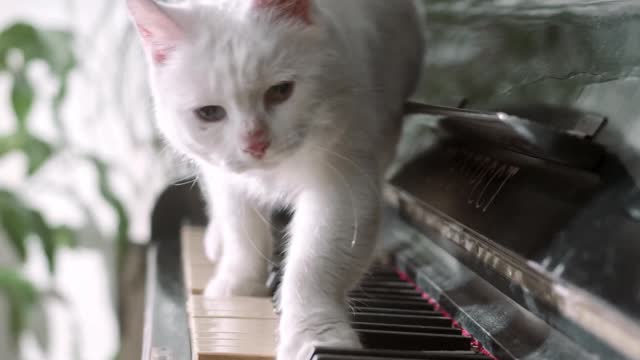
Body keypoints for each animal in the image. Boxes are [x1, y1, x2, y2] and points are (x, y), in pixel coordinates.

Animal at [126, 0, 424, 358]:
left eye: (281, 92)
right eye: (209, 113)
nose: (255, 144)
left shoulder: (342, 186)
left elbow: (314, 265)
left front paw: (315, 338)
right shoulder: (227, 180)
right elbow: (241, 233)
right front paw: (238, 286)